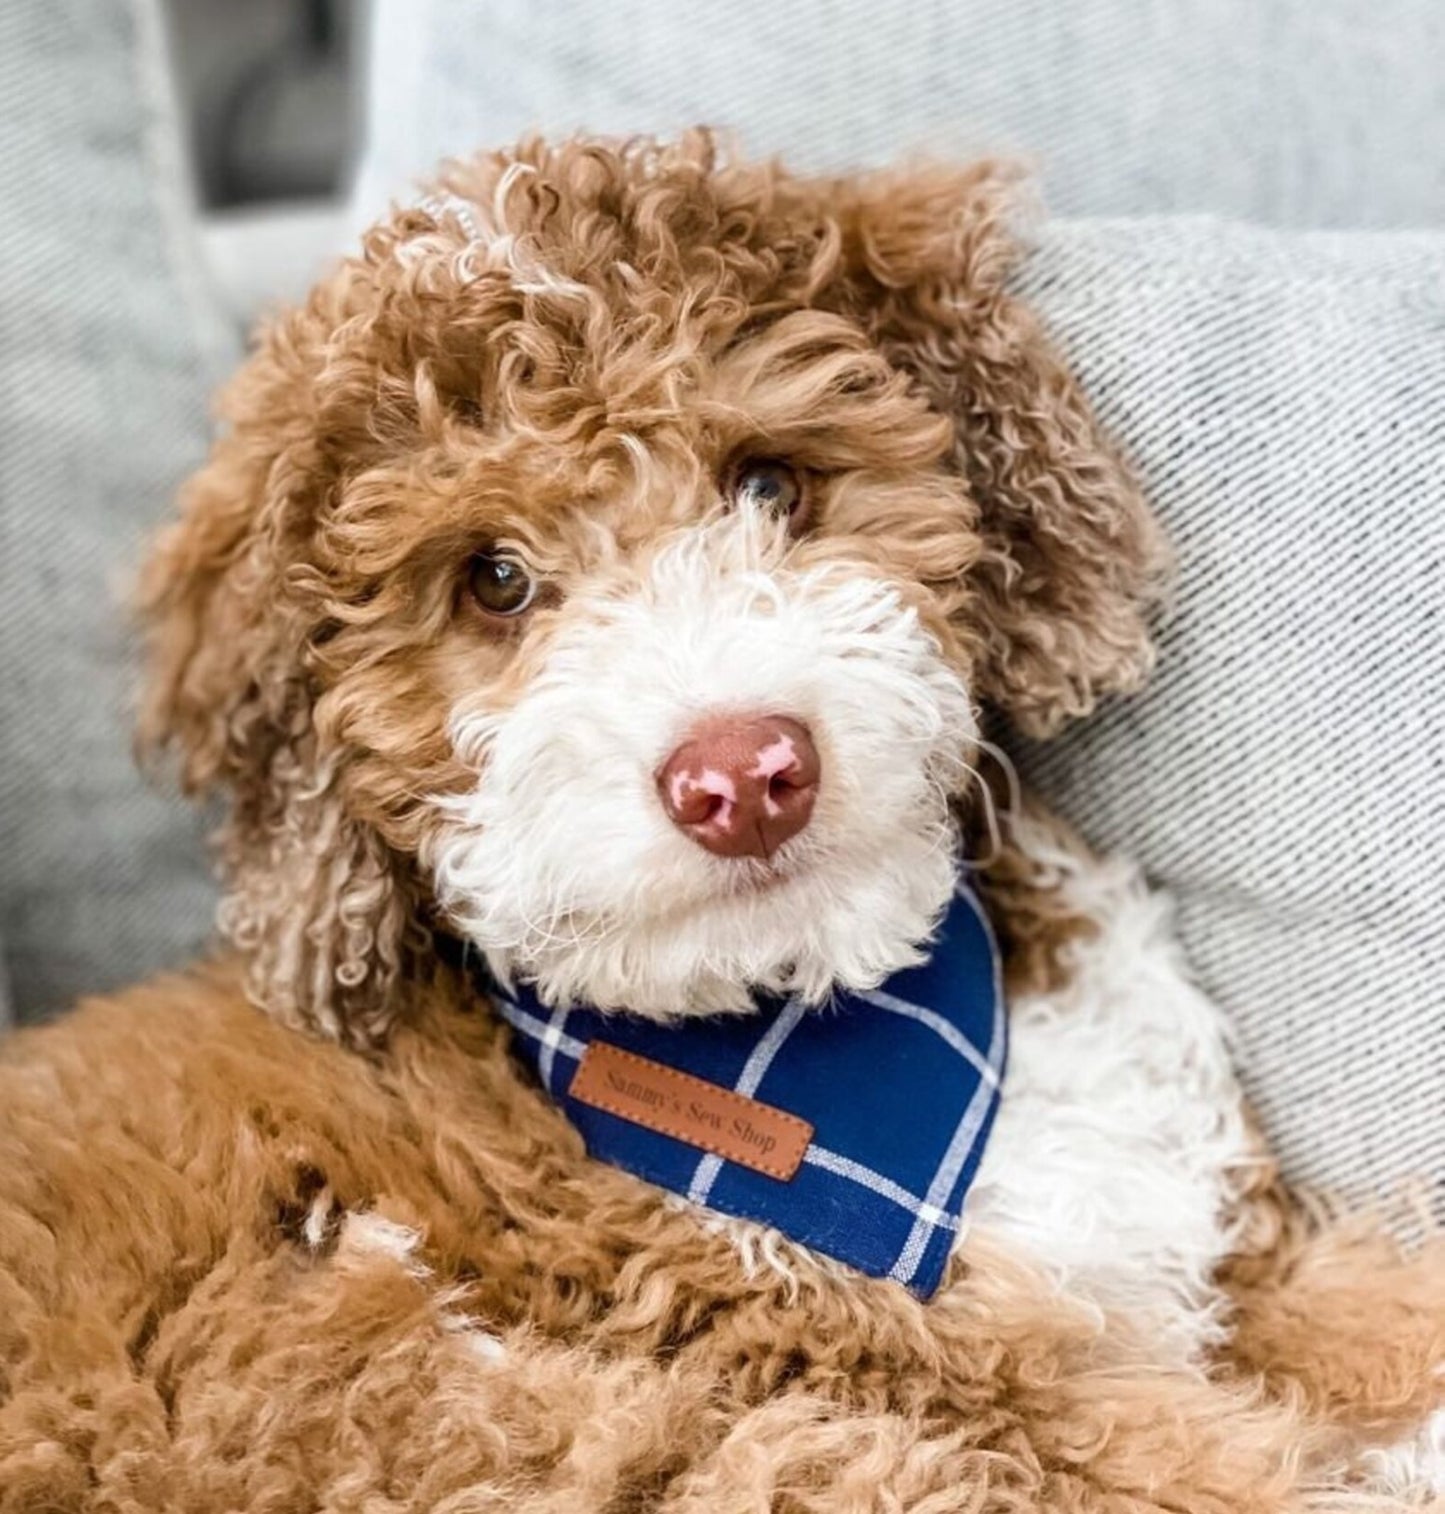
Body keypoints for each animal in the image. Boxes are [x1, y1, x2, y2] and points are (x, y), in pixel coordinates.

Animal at [2, 136, 1441, 1507]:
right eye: (493, 579)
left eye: (765, 483)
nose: (743, 774)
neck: (822, 1031)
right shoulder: (892, 1376)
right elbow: (1230, 1461)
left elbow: (1368, 1303)